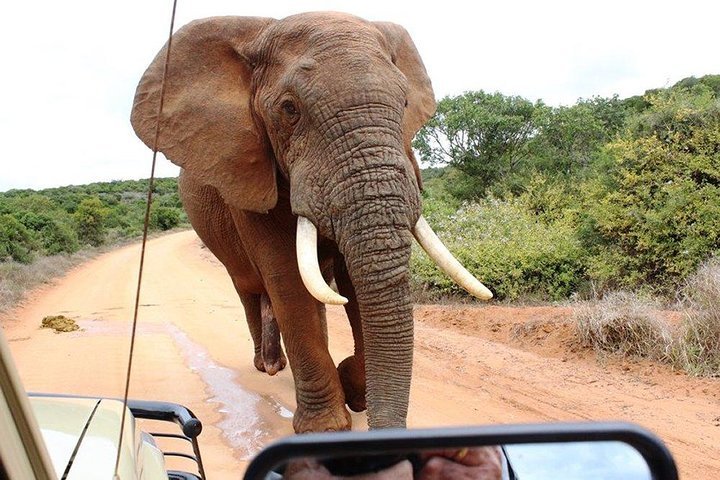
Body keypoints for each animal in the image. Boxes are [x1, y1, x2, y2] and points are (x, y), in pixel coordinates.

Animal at [131, 11, 490, 434]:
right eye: (289, 109)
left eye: (404, 102)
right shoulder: (248, 173)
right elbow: (288, 278)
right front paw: (326, 427)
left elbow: (353, 283)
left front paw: (352, 386)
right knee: (250, 287)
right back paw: (268, 366)